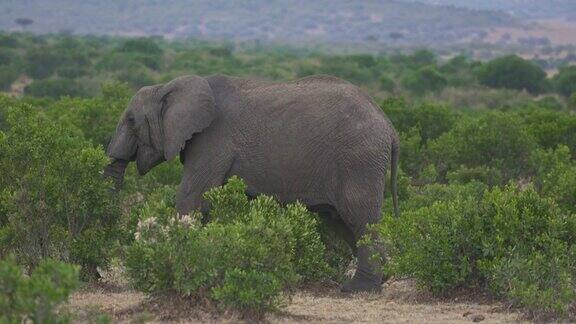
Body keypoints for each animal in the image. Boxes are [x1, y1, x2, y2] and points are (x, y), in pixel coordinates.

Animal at [103, 74, 398, 292]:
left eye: (131, 121)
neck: (167, 87)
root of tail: (389, 125)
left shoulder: (212, 141)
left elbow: (192, 197)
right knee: (342, 221)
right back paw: (378, 279)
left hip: (359, 159)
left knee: (359, 216)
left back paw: (358, 289)